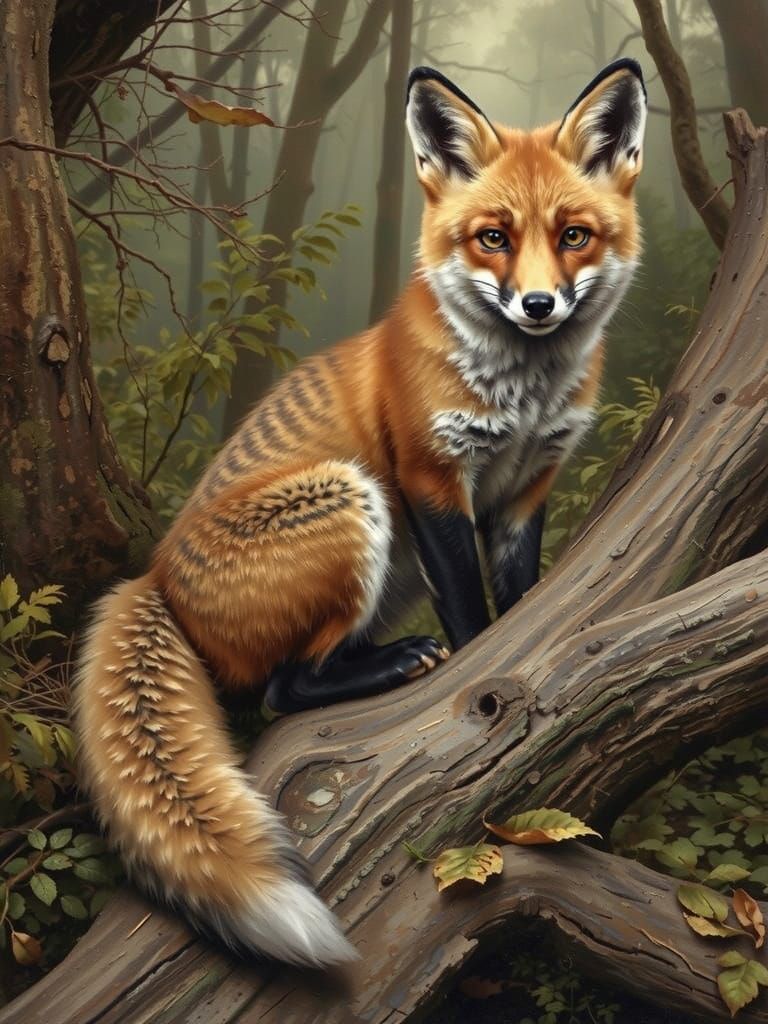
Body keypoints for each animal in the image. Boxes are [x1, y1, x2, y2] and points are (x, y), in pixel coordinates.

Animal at [74, 59, 646, 968]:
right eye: (493, 238)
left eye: (574, 236)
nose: (538, 306)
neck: (524, 394)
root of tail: (154, 577)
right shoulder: (428, 476)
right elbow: (474, 616)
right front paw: (480, 691)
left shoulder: (527, 488)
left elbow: (523, 602)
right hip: (353, 497)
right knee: (280, 690)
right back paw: (390, 664)